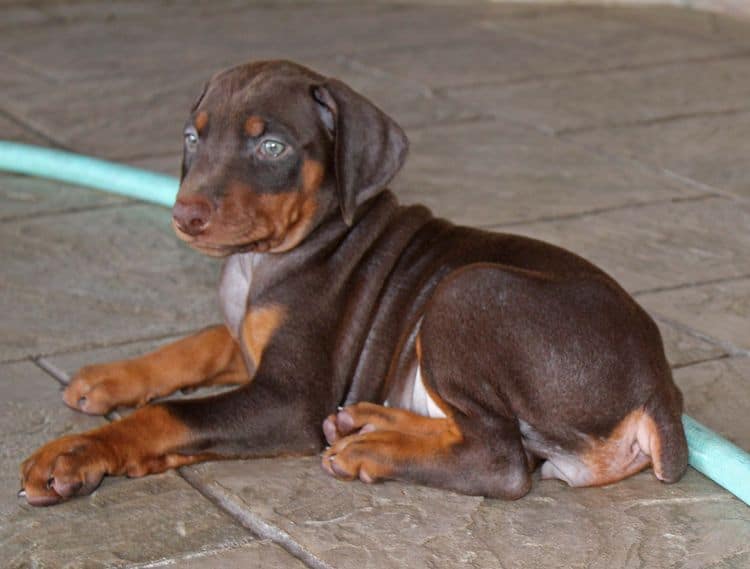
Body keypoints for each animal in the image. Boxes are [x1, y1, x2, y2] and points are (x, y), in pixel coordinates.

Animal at [19, 61, 688, 506]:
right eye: (193, 136)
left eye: (271, 146)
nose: (186, 214)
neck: (260, 261)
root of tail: (657, 389)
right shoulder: (248, 343)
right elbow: (203, 339)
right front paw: (110, 377)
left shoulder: (290, 398)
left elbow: (171, 415)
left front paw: (77, 452)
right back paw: (370, 423)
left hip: (466, 290)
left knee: (501, 461)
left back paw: (371, 449)